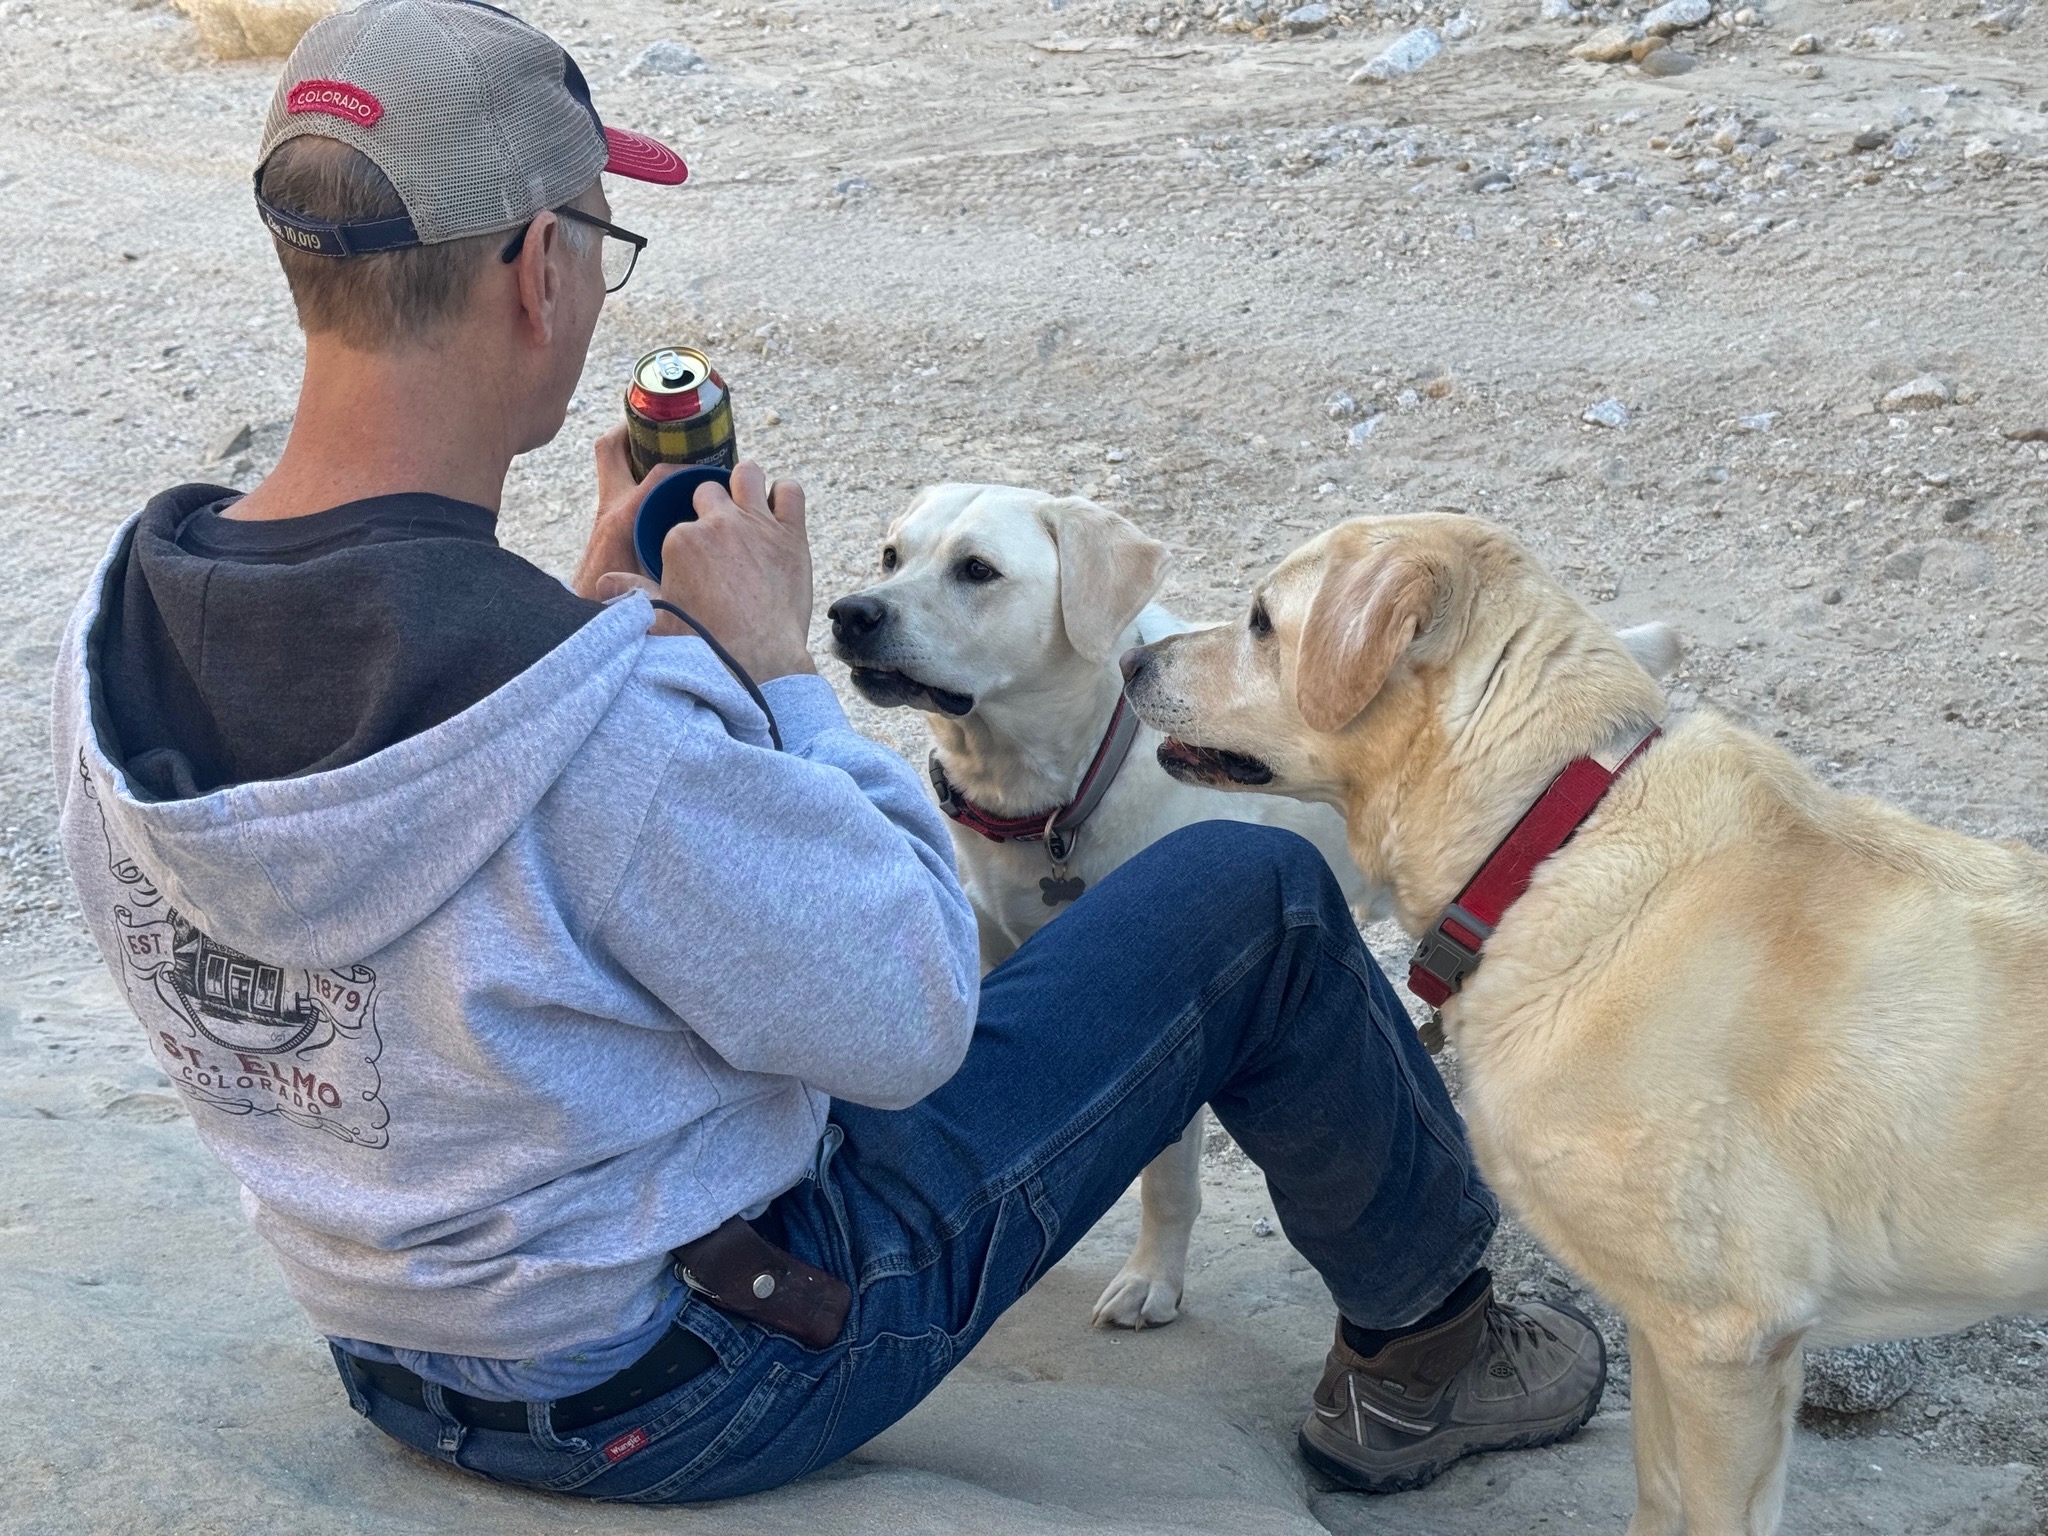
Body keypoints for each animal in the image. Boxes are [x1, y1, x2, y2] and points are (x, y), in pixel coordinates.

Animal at [1120, 510, 2048, 1535]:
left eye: (1261, 621)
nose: (1128, 661)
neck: (1550, 836)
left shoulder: (1724, 1343)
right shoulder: (1663, 1329)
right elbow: (1657, 1493)